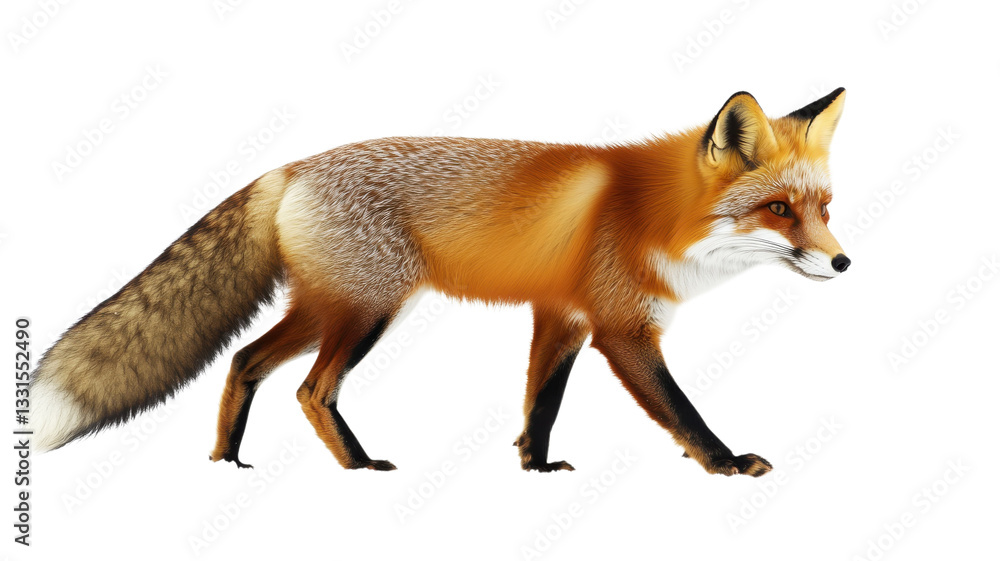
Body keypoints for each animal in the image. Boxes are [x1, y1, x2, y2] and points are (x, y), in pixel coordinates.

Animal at [29, 88, 850, 477]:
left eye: (824, 207)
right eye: (779, 210)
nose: (845, 264)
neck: (655, 215)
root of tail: (290, 167)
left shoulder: (562, 316)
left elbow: (540, 403)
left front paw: (534, 466)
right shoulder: (620, 328)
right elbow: (681, 409)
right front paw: (724, 462)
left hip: (329, 307)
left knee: (245, 361)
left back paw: (226, 460)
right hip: (366, 310)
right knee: (310, 389)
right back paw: (357, 468)